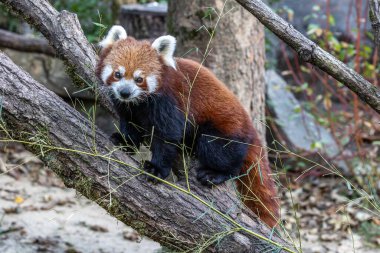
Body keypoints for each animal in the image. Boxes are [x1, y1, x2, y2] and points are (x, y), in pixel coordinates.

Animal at [95, 25, 280, 227]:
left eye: (139, 79)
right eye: (118, 74)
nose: (125, 92)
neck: (139, 103)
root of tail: (251, 127)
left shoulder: (169, 102)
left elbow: (167, 136)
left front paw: (156, 168)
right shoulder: (129, 108)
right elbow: (130, 124)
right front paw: (124, 141)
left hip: (225, 129)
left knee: (219, 151)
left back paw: (216, 173)